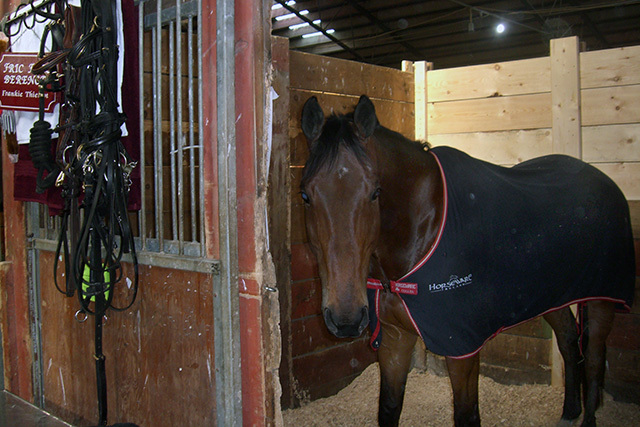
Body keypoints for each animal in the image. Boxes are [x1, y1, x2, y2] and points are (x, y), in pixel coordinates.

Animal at [299, 95, 635, 427]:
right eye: (305, 196)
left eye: (375, 192)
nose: (346, 319)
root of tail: (603, 179)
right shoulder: (395, 338)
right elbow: (389, 408)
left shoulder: (463, 347)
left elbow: (466, 413)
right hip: (552, 296)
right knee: (567, 340)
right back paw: (569, 412)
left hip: (604, 299)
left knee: (594, 359)